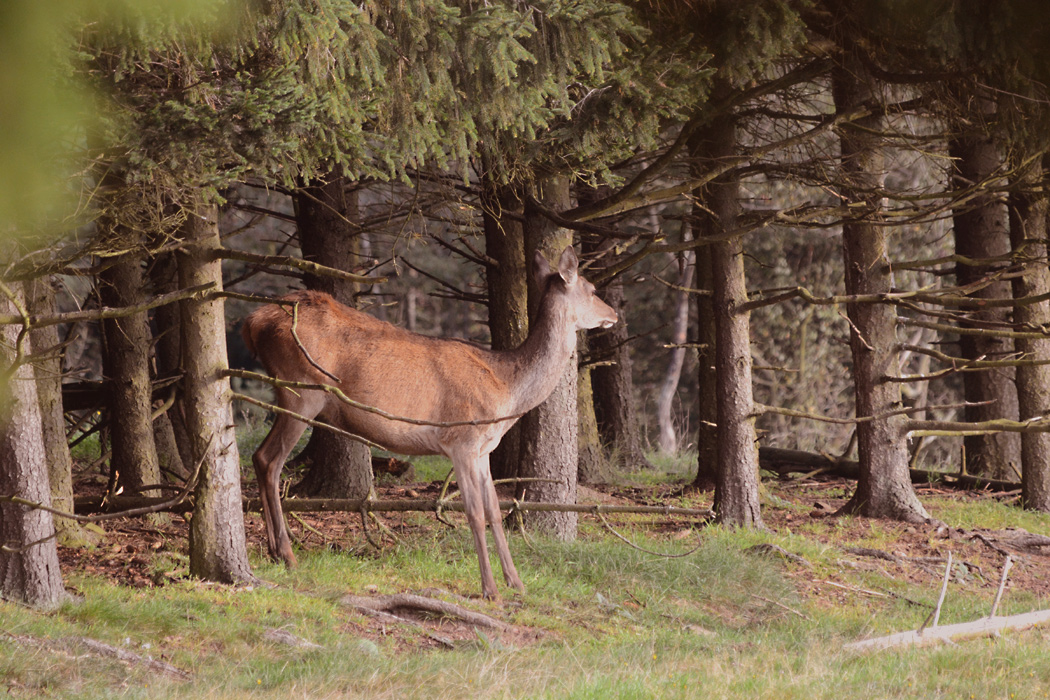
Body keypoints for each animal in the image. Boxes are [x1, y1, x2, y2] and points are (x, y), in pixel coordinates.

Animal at [241, 245, 617, 596]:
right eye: (591, 288)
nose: (613, 314)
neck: (506, 391)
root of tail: (253, 321)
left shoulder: (483, 449)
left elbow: (495, 510)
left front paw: (516, 582)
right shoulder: (462, 440)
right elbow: (474, 513)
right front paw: (490, 589)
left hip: (291, 393)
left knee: (259, 457)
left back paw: (274, 551)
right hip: (302, 390)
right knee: (270, 459)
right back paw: (287, 553)